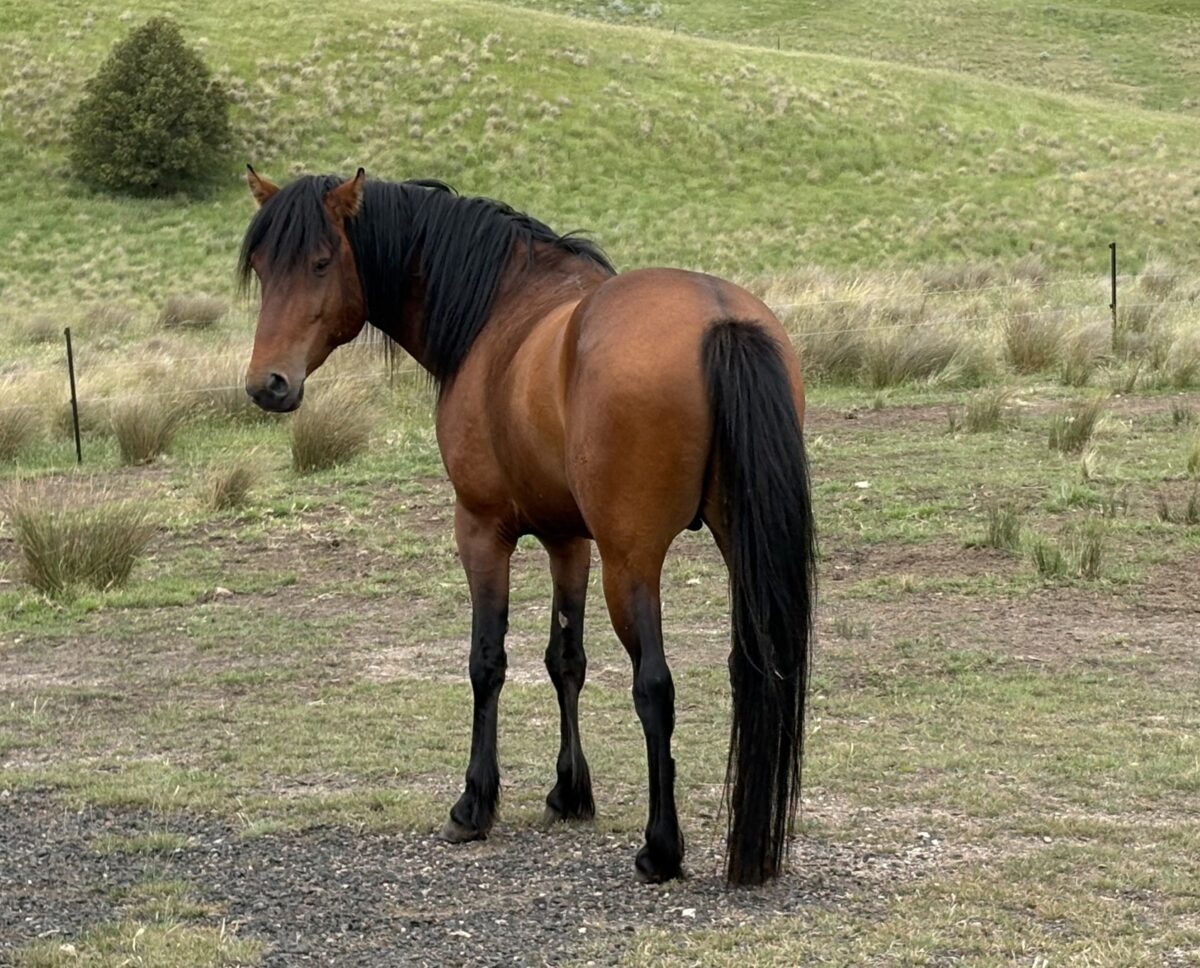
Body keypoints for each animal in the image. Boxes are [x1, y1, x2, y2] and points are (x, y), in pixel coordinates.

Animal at [238, 166, 816, 886]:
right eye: (264, 268)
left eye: (320, 262)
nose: (268, 384)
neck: (500, 312)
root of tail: (719, 317)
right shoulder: (569, 540)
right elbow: (565, 659)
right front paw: (570, 792)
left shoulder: (483, 530)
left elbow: (487, 661)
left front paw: (473, 803)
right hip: (736, 549)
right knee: (753, 671)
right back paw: (751, 849)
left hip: (632, 563)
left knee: (654, 686)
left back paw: (661, 849)